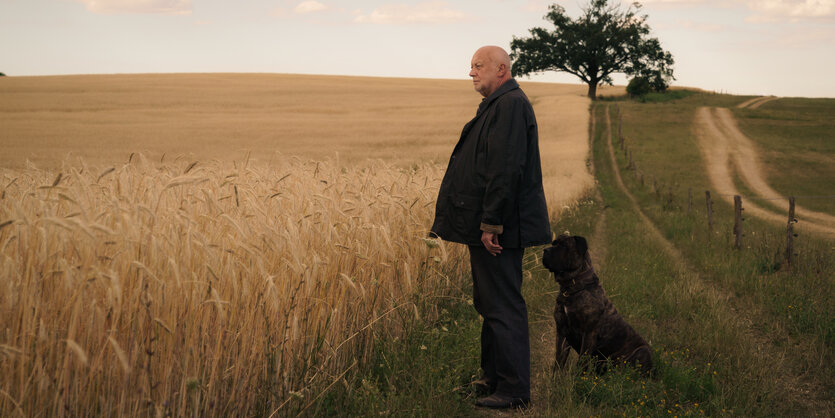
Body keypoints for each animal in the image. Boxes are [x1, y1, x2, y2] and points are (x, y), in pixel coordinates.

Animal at [544, 233, 652, 374]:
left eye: (563, 246)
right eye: (553, 243)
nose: (545, 250)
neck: (571, 287)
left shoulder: (588, 334)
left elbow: (581, 363)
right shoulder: (562, 331)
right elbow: (559, 361)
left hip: (643, 351)